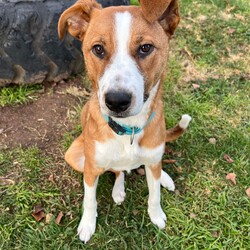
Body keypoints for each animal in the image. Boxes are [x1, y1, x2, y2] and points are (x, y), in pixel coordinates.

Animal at [58, 0, 191, 243]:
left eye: (145, 48)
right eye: (98, 49)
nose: (116, 101)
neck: (129, 129)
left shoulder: (152, 158)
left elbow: (154, 194)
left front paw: (156, 215)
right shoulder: (90, 169)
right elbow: (89, 200)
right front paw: (87, 225)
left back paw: (163, 178)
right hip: (74, 155)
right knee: (118, 170)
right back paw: (118, 190)